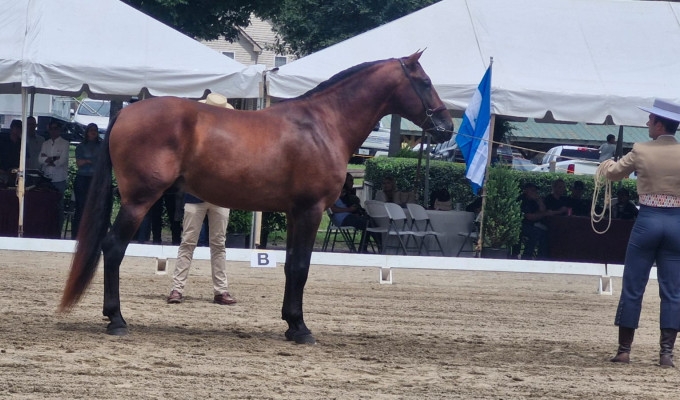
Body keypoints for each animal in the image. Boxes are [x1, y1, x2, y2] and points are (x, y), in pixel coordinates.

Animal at [59, 51, 453, 344]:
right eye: (425, 82)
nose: (447, 127)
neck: (322, 125)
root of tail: (127, 111)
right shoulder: (310, 210)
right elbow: (301, 266)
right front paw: (302, 329)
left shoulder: (295, 213)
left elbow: (292, 266)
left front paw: (291, 324)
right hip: (139, 201)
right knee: (113, 248)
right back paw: (116, 319)